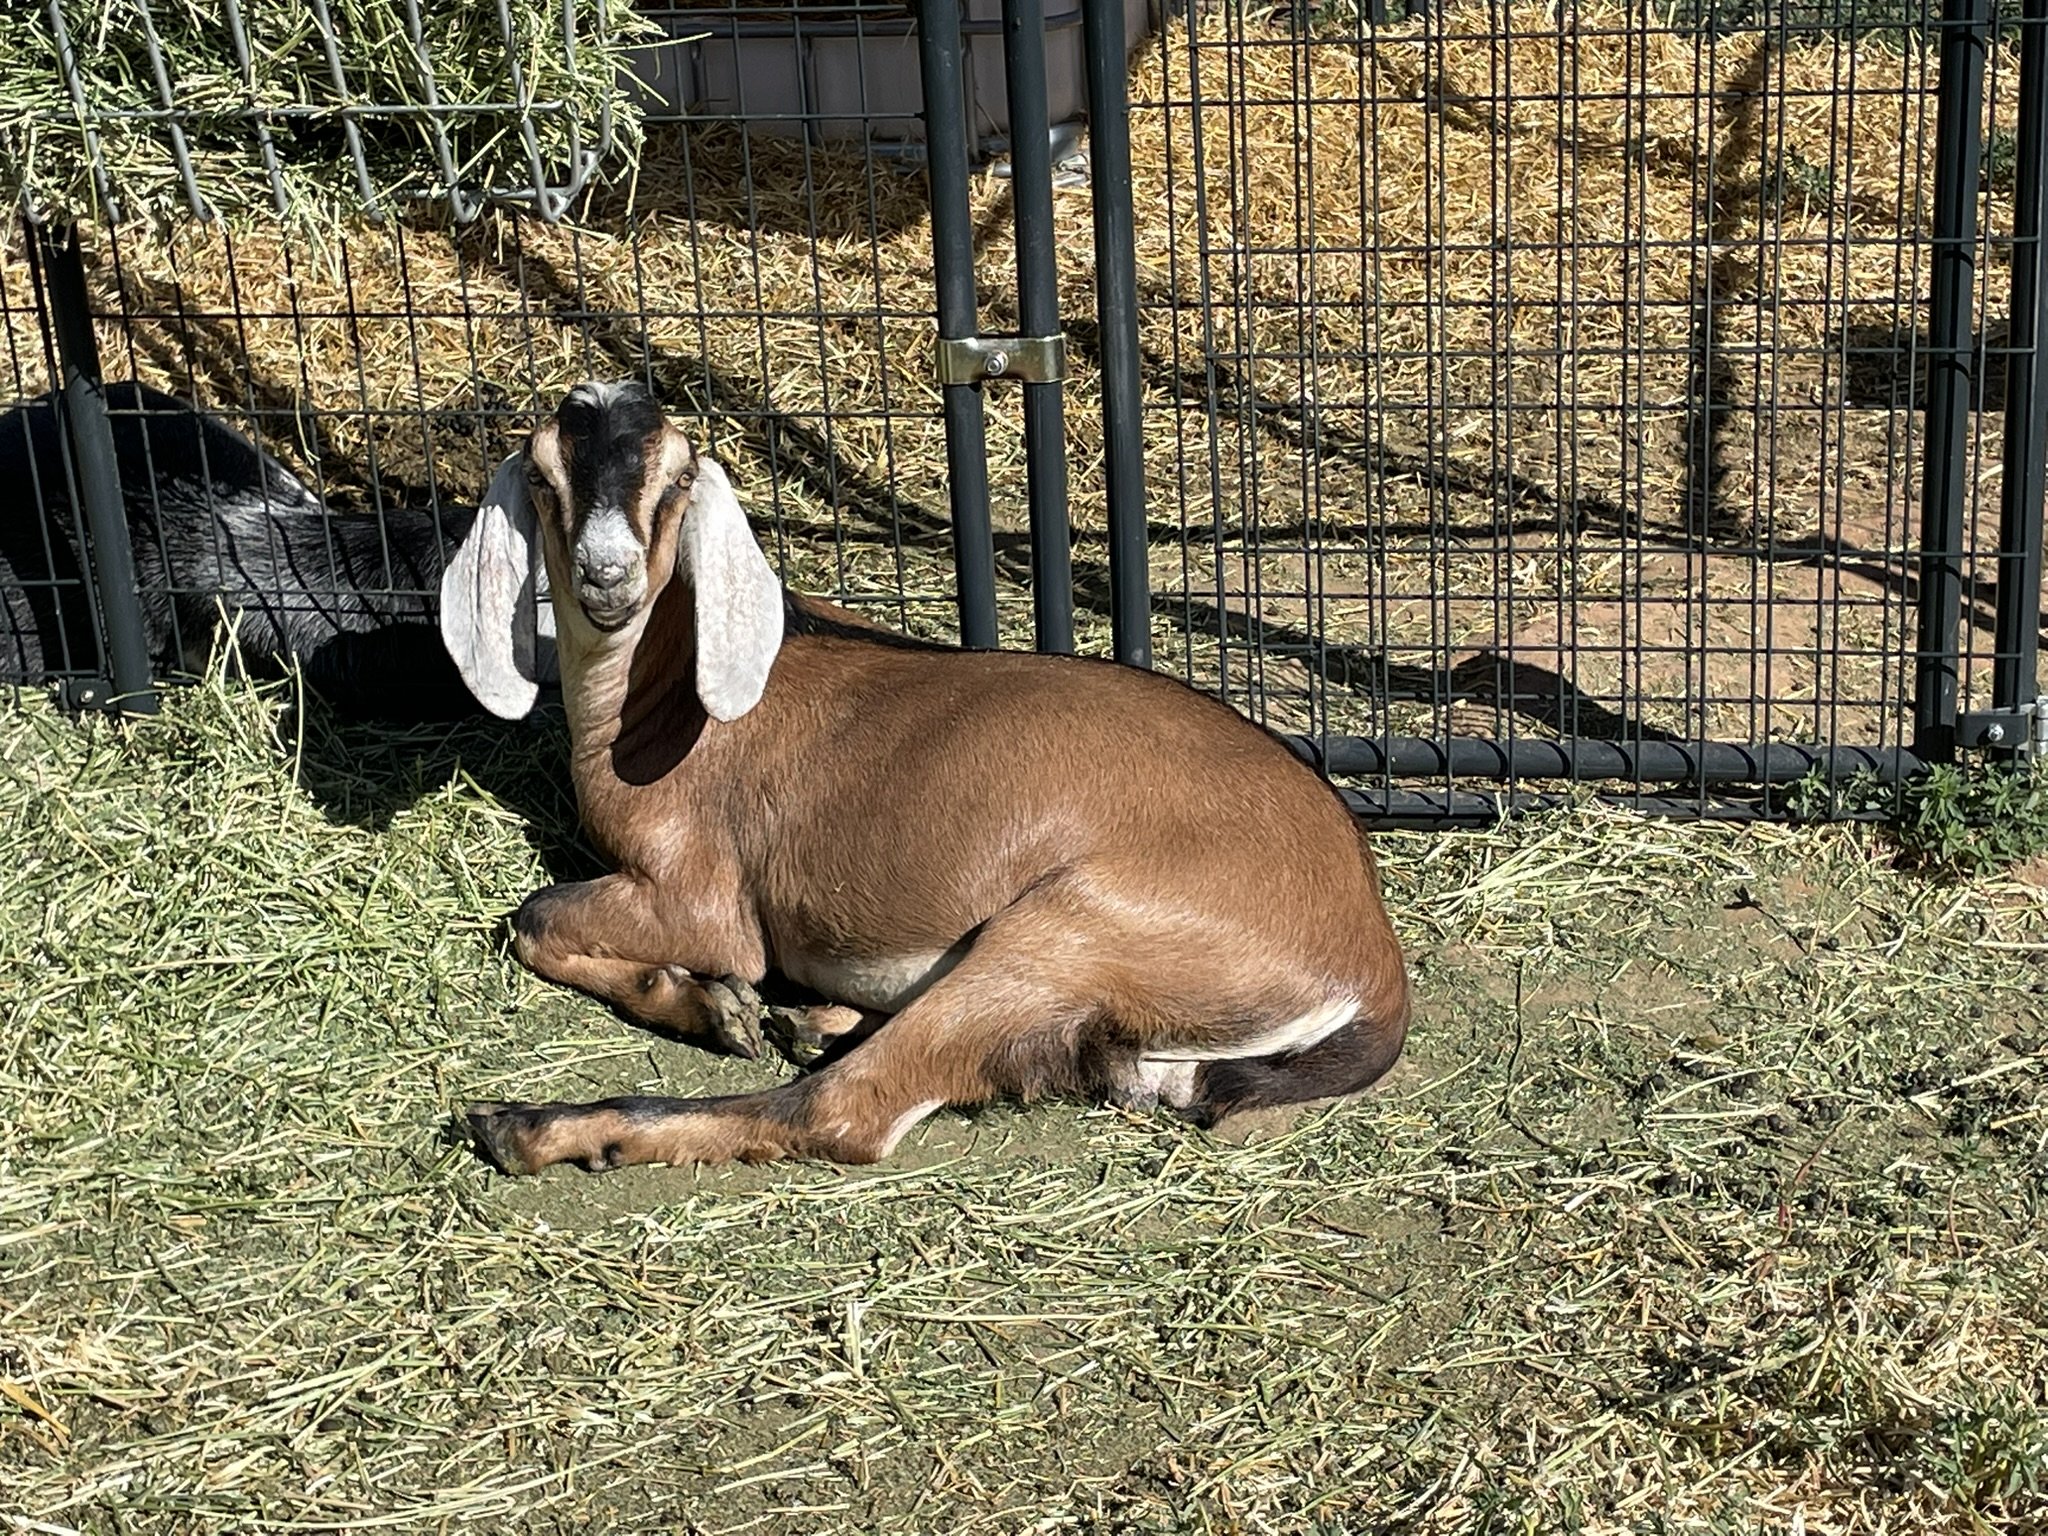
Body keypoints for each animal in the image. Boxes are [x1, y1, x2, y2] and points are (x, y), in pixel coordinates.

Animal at [449, 380, 1410, 1174]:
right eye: (542, 475)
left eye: (679, 476)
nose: (606, 577)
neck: (657, 704)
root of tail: (1372, 961)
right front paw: (711, 1005)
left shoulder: (703, 900)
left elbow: (533, 916)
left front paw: (712, 1006)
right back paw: (810, 1021)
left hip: (1062, 933)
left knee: (843, 1111)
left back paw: (534, 1126)